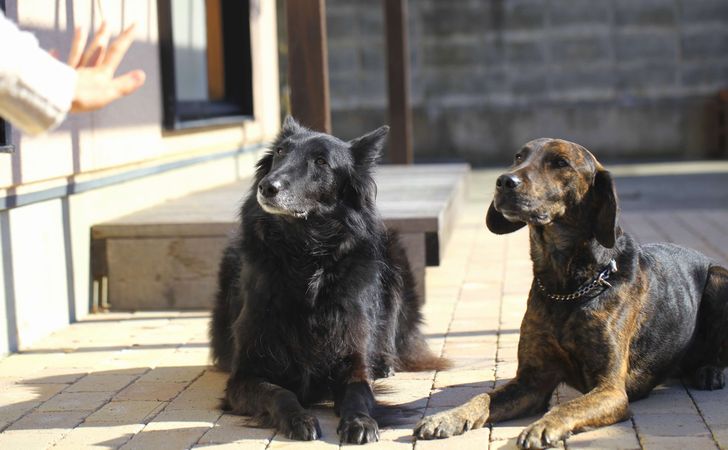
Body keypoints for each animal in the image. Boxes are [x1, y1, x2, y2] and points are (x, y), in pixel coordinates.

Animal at [209, 116, 444, 442]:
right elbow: (279, 393)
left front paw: (360, 421)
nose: (267, 186)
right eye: (280, 152)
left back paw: (384, 364)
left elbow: (359, 392)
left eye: (321, 162)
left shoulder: (351, 359)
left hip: (394, 258)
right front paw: (298, 418)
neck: (305, 255)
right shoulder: (245, 375)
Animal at [416, 139, 728, 448]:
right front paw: (447, 417)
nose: (504, 181)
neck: (565, 288)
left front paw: (541, 426)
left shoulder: (610, 390)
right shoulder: (531, 382)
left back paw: (711, 371)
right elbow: (483, 397)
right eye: (518, 157)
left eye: (560, 162)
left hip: (718, 279)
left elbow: (568, 406)